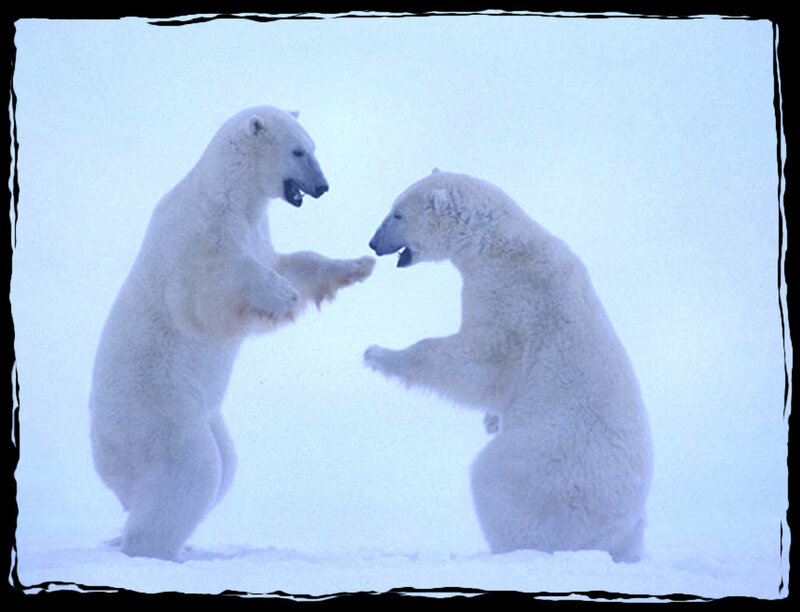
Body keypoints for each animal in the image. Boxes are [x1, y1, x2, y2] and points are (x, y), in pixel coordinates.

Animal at [89, 106, 374, 561]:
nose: (323, 187)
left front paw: (356, 266)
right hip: (161, 411)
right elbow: (208, 292)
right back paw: (155, 549)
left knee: (225, 467)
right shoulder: (195, 238)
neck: (227, 195)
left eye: (312, 146)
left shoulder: (257, 232)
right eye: (298, 151)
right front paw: (281, 292)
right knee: (193, 473)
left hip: (206, 414)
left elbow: (290, 263)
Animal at [363, 170, 652, 563]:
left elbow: (482, 364)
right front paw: (491, 420)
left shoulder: (513, 299)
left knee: (493, 481)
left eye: (398, 214)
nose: (373, 243)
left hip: (545, 464)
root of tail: (615, 530)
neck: (500, 244)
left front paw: (377, 354)